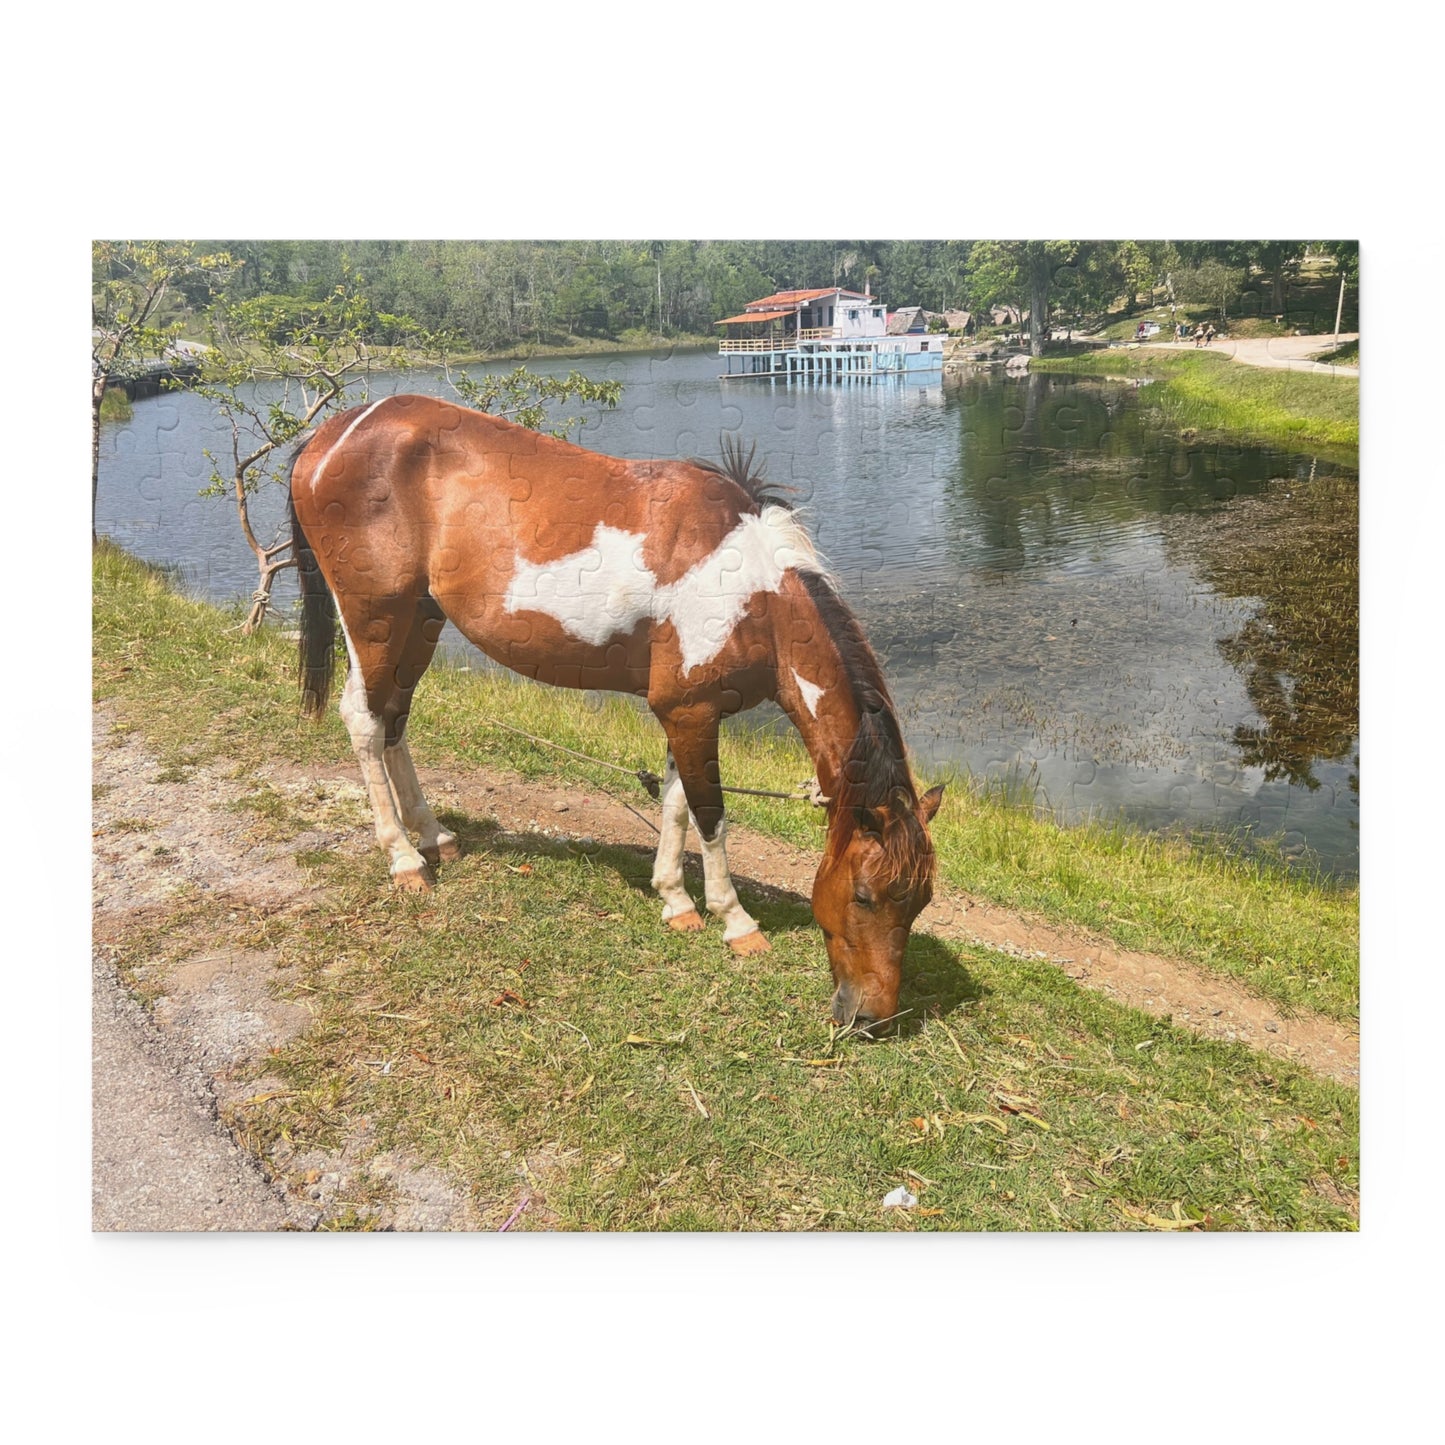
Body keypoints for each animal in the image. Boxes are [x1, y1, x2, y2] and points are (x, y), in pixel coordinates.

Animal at [286, 393, 943, 1031]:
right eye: (864, 895)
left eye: (920, 901)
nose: (872, 1019)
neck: (751, 591)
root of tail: (333, 435)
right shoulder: (692, 713)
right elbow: (710, 814)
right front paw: (735, 922)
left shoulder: (686, 711)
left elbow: (676, 800)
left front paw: (676, 900)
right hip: (375, 618)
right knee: (365, 721)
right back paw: (402, 859)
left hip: (421, 620)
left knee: (395, 720)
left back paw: (434, 836)